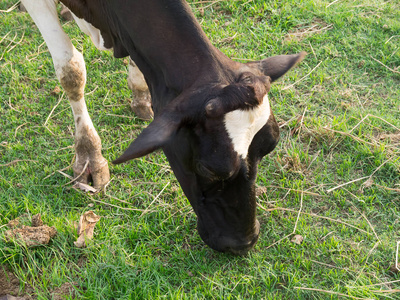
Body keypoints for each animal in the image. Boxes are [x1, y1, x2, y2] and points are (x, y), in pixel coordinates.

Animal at [20, 0, 304, 254]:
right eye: (208, 169)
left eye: (269, 149)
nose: (243, 243)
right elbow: (71, 71)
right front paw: (89, 154)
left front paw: (139, 94)